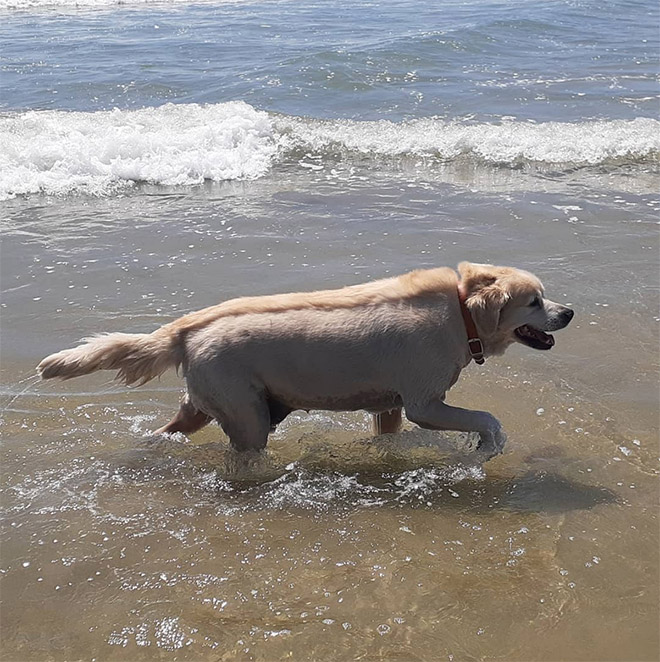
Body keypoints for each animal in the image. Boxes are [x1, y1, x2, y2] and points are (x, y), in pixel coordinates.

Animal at [37, 262, 572, 460]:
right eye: (534, 302)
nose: (568, 312)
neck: (460, 313)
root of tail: (189, 328)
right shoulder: (425, 402)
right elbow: (487, 419)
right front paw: (486, 447)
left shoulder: (391, 404)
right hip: (246, 413)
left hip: (205, 405)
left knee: (168, 431)